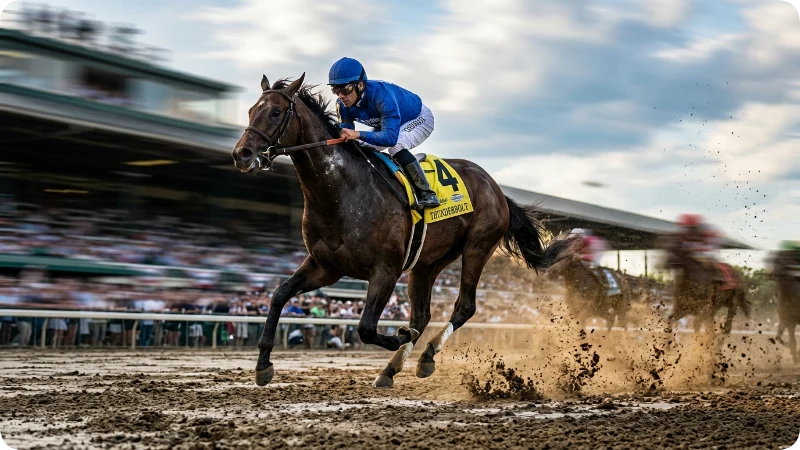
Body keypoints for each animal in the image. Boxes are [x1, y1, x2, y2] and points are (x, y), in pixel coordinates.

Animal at [230, 74, 576, 388]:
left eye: (276, 112)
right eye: (250, 110)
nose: (241, 154)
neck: (342, 192)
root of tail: (498, 190)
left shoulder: (385, 269)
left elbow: (366, 327)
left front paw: (398, 336)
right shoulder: (325, 267)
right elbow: (279, 294)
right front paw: (263, 364)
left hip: (477, 247)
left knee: (463, 307)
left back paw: (425, 356)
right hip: (428, 262)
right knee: (421, 315)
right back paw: (391, 369)